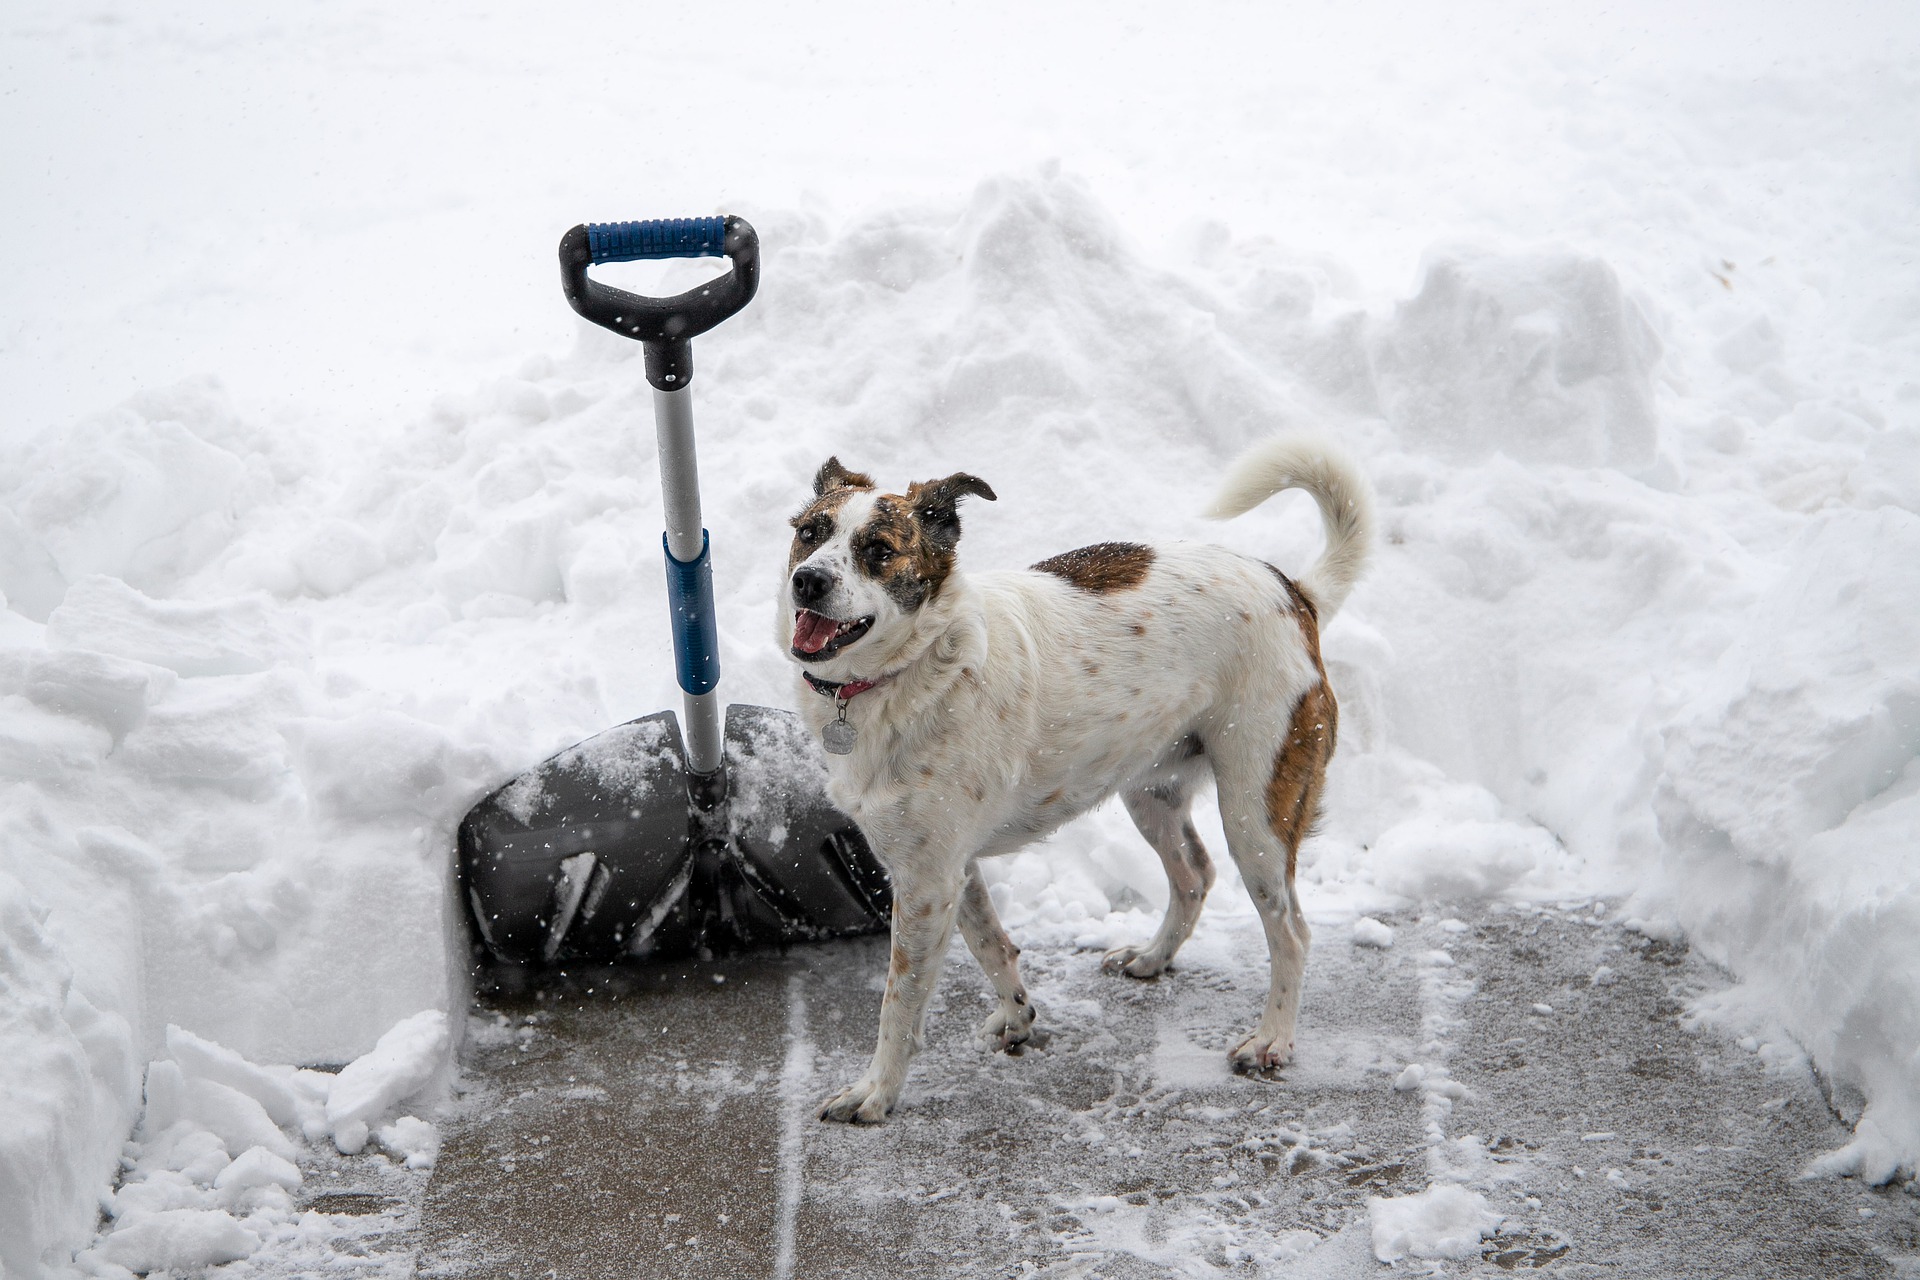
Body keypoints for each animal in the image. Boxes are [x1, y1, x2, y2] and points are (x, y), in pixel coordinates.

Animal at [771, 435, 1374, 1113]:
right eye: (809, 532)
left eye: (878, 550)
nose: (808, 580)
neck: (915, 667)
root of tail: (1294, 590)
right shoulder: (950, 867)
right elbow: (990, 945)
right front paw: (1017, 1018)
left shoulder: (926, 881)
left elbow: (899, 1002)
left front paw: (875, 1092)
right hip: (1152, 791)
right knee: (1194, 875)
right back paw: (1152, 957)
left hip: (1257, 811)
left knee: (1291, 931)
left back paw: (1272, 1039)